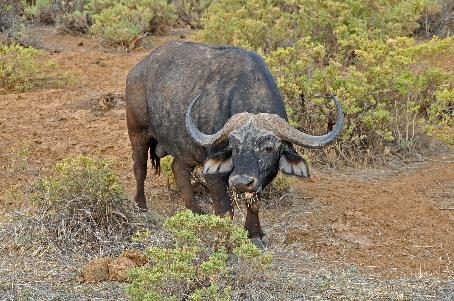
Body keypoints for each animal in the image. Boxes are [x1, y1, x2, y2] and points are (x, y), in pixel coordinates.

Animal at [126, 41, 342, 247]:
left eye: (268, 148)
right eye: (234, 146)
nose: (240, 182)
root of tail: (137, 70)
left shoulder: (261, 179)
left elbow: (254, 203)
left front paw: (254, 235)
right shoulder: (213, 175)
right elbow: (225, 211)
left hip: (185, 147)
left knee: (178, 168)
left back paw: (196, 212)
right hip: (137, 131)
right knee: (140, 168)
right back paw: (141, 206)